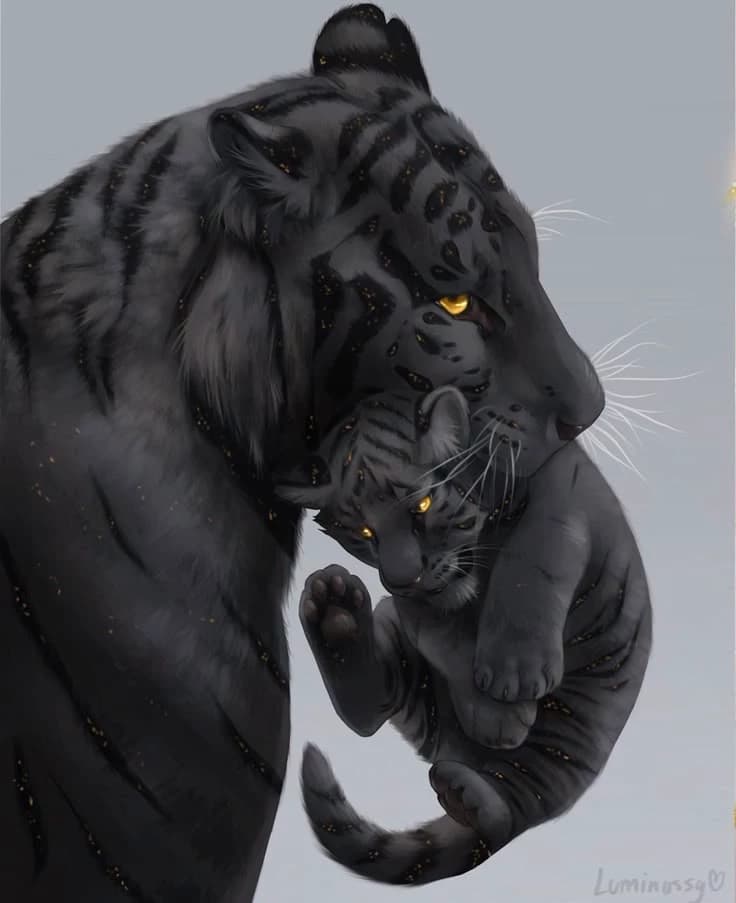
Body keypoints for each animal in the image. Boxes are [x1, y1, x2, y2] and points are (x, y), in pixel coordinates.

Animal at [276, 385, 652, 887]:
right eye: (363, 531)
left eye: (421, 507)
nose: (401, 577)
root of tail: (456, 752)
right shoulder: (416, 606)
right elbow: (444, 637)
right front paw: (495, 713)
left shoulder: (562, 489)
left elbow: (533, 558)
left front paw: (512, 683)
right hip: (404, 662)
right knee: (369, 711)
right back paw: (335, 610)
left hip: (575, 728)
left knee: (516, 806)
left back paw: (467, 791)